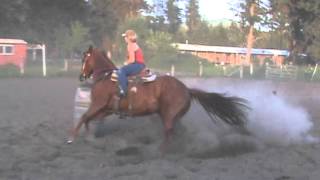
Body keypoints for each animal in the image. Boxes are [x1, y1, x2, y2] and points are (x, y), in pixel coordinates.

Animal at [68, 45, 250, 150]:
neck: (105, 77)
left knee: (168, 132)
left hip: (168, 115)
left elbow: (83, 117)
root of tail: (186, 89)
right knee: (177, 132)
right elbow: (88, 119)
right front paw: (89, 137)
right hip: (173, 116)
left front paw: (71, 138)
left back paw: (161, 151)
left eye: (85, 59)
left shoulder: (97, 104)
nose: (81, 76)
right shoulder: (106, 109)